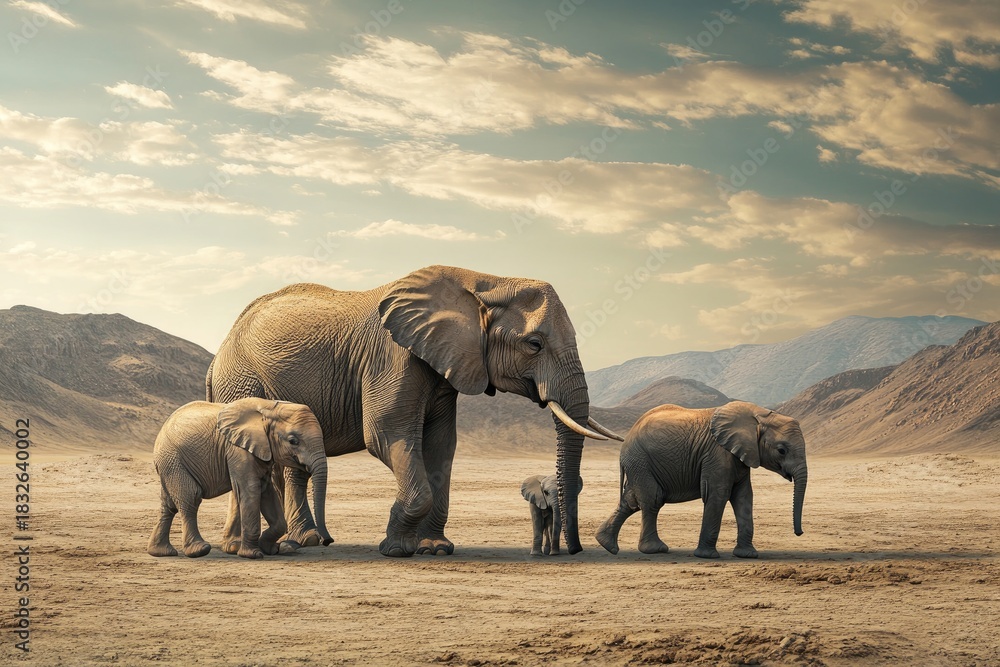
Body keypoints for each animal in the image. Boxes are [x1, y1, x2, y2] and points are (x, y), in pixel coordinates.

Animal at [147, 398, 330, 559]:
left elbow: (267, 492)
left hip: (170, 464)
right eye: (293, 441)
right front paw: (253, 555)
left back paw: (161, 552)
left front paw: (272, 549)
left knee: (169, 505)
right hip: (173, 461)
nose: (327, 541)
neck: (269, 407)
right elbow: (250, 491)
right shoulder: (237, 449)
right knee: (191, 498)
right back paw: (199, 550)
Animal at [207, 265, 623, 558]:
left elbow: (441, 444)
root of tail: (217, 358)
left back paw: (303, 540)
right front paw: (396, 549)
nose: (575, 551)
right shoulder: (392, 357)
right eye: (534, 344)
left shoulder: (445, 366)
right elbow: (386, 434)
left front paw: (435, 549)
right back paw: (298, 543)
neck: (485, 280)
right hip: (241, 382)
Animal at [595, 401, 807, 559]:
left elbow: (744, 497)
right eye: (781, 450)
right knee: (652, 500)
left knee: (631, 501)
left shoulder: (741, 456)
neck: (759, 415)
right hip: (640, 462)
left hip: (639, 464)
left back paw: (606, 544)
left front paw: (747, 555)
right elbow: (718, 495)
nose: (799, 533)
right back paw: (656, 550)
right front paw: (707, 556)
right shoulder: (717, 454)